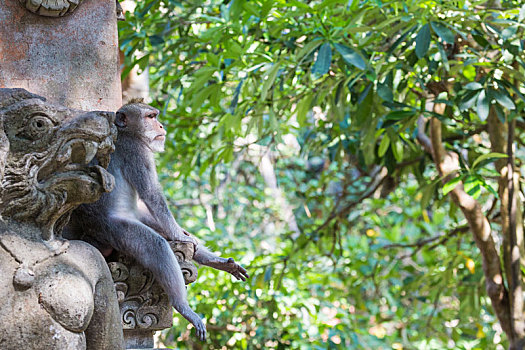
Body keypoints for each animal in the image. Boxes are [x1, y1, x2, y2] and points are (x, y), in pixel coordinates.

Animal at [64, 100, 249, 340]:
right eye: (150, 117)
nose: (161, 126)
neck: (128, 133)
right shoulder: (138, 152)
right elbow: (152, 194)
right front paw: (179, 234)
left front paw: (185, 236)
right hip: (111, 228)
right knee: (156, 245)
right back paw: (182, 305)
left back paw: (216, 261)